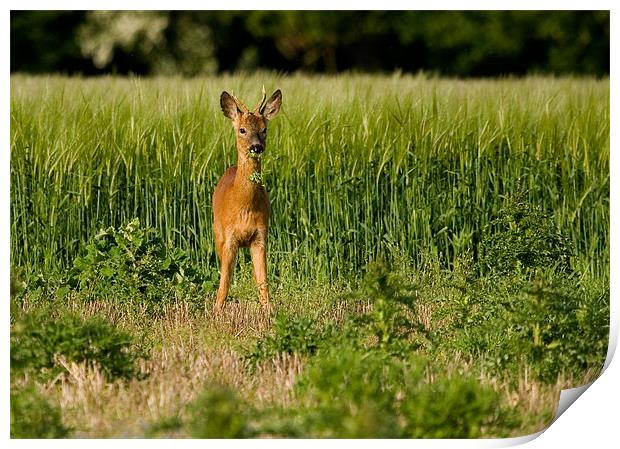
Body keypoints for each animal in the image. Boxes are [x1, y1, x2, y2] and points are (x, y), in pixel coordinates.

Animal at [212, 87, 282, 312]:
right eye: (242, 130)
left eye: (264, 129)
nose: (256, 147)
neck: (243, 205)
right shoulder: (229, 238)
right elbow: (225, 280)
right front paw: (217, 310)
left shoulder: (260, 236)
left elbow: (263, 279)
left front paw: (269, 310)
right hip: (217, 231)